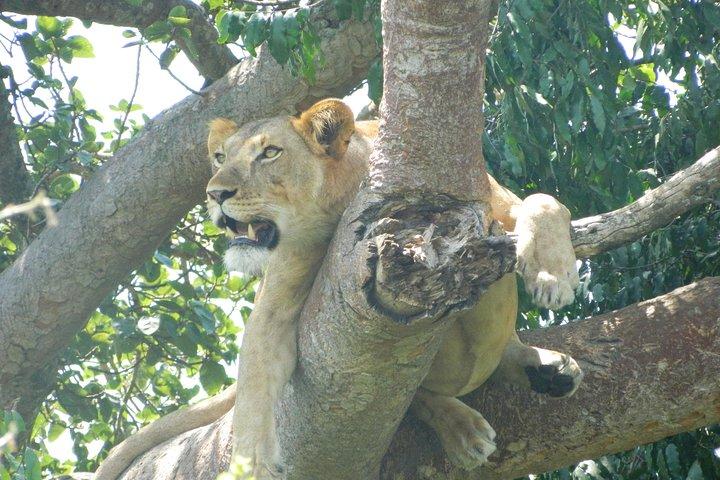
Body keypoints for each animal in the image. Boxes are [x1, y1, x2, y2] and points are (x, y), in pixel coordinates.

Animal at [94, 99, 581, 479]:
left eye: (269, 153)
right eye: (218, 157)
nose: (215, 194)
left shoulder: (489, 202)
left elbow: (544, 201)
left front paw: (553, 277)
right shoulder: (275, 302)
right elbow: (254, 383)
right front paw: (251, 465)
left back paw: (546, 367)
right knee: (416, 394)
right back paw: (465, 428)